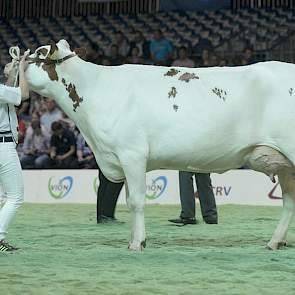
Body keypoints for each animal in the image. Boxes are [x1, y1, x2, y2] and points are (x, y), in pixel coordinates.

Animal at [23, 40, 295, 252]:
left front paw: (137, 243)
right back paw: (275, 242)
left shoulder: (132, 154)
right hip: (285, 165)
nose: (21, 57)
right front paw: (135, 239)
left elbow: (136, 201)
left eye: (38, 51)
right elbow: (129, 200)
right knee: (288, 202)